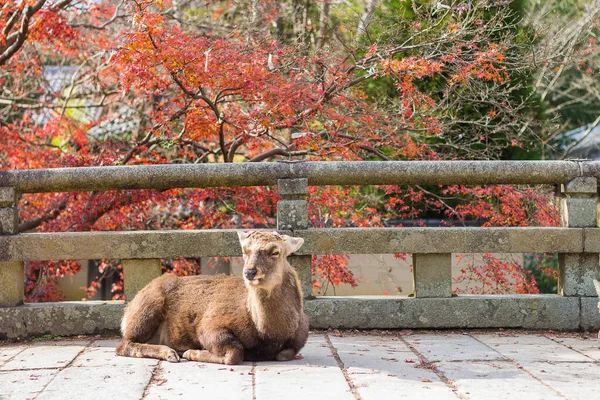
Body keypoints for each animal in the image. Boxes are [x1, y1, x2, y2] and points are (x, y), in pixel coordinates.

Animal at [116, 231, 310, 366]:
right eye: (244, 251)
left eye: (275, 251)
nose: (249, 272)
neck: (270, 334)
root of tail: (126, 313)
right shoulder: (210, 324)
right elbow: (235, 353)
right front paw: (191, 353)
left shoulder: (299, 341)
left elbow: (285, 354)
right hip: (146, 309)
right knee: (124, 345)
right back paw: (170, 353)